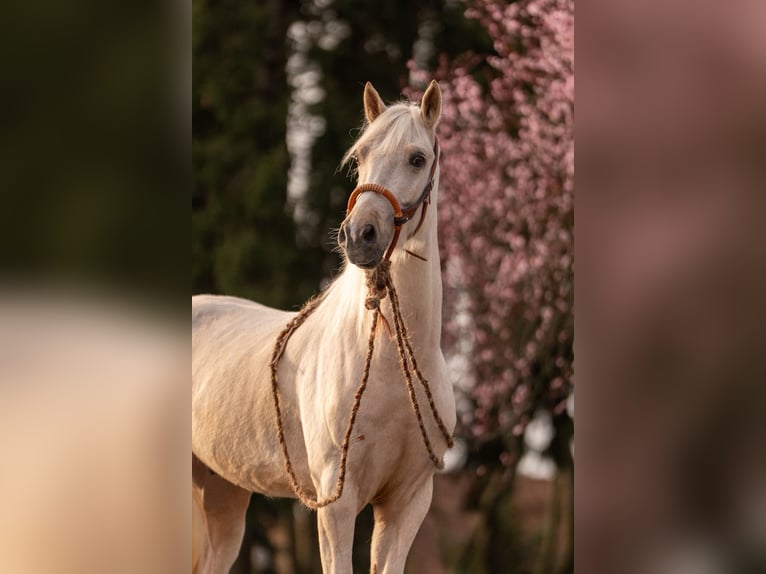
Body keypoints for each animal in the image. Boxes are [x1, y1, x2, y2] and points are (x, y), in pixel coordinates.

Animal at [192, 80, 456, 574]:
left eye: (417, 158)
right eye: (361, 156)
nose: (359, 235)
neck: (392, 366)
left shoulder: (407, 503)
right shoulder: (337, 502)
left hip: (222, 493)